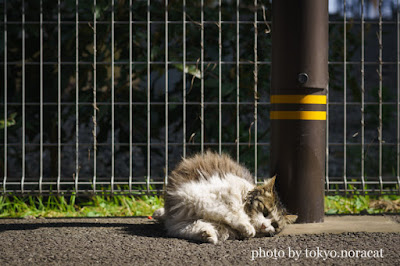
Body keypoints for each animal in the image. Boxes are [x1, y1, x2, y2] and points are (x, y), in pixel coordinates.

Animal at [153, 151, 296, 244]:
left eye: (274, 225)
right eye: (265, 212)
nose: (264, 226)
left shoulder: (179, 224)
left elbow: (194, 226)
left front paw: (207, 234)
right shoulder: (198, 196)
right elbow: (229, 212)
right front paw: (247, 227)